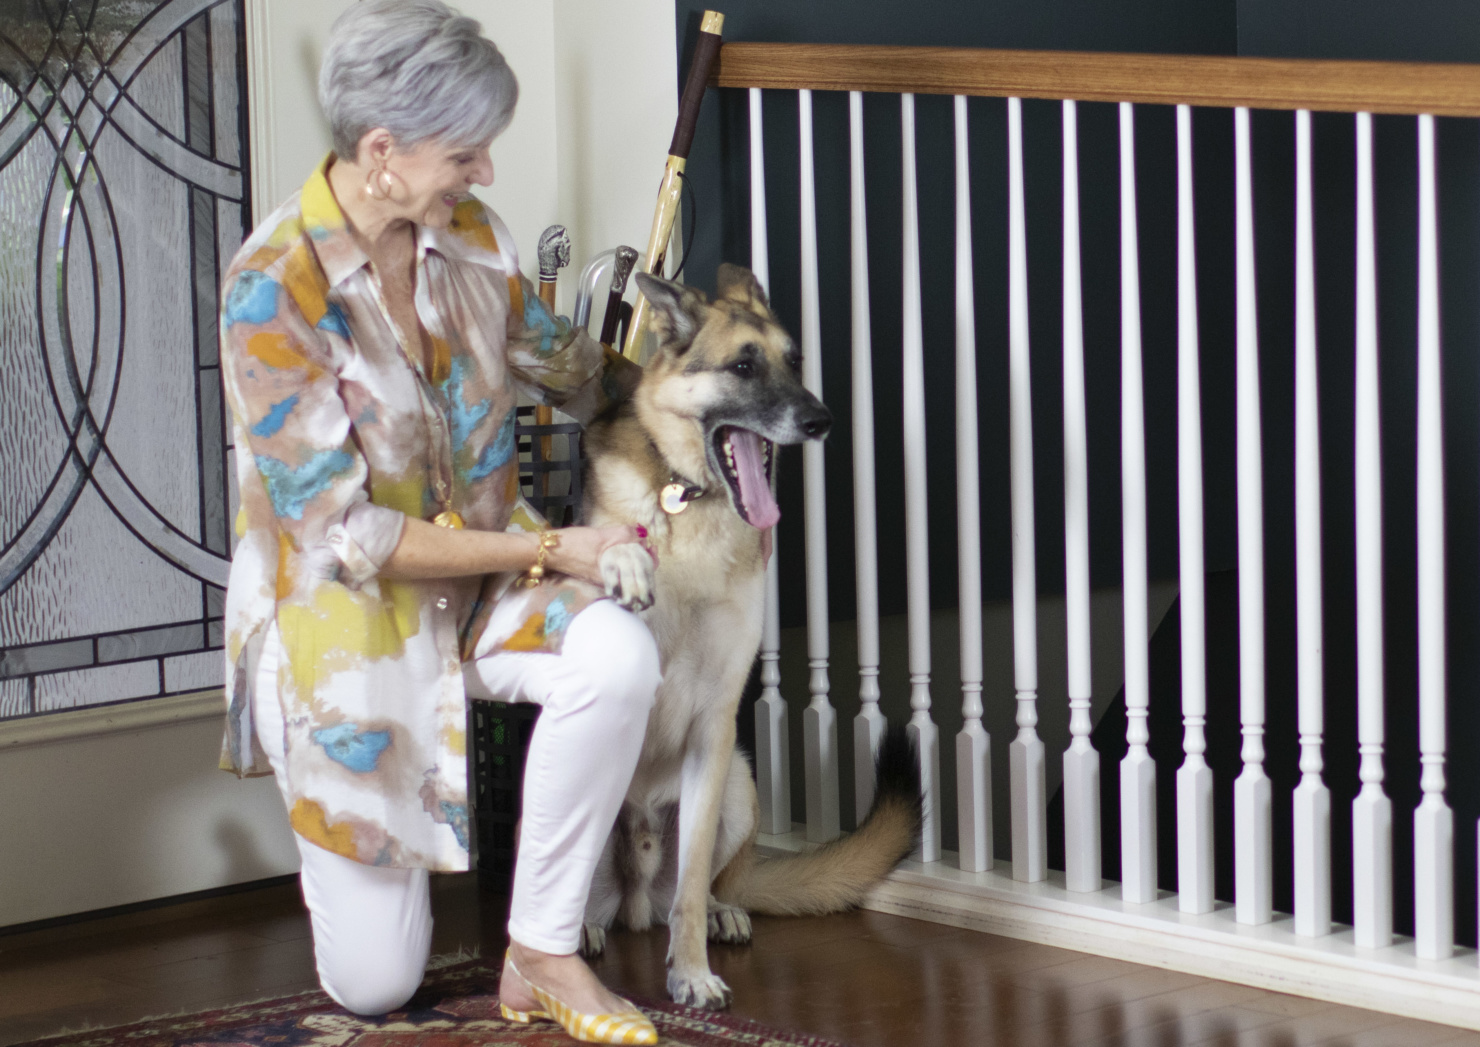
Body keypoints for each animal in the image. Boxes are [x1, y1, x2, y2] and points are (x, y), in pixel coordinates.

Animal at [580, 266, 917, 1012]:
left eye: (796, 361)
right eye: (742, 366)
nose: (820, 421)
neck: (688, 508)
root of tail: (633, 901)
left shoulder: (714, 725)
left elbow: (691, 883)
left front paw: (690, 971)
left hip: (736, 782)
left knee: (698, 884)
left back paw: (718, 911)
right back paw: (582, 924)